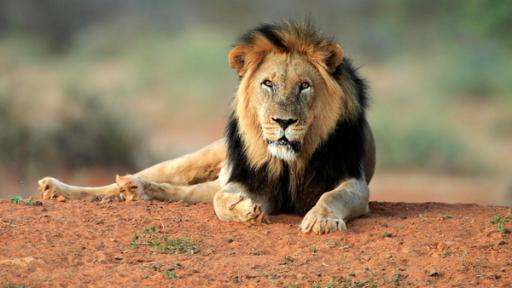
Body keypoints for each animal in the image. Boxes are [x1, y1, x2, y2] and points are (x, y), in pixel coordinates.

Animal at [36, 22, 374, 234]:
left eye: (304, 86)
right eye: (268, 84)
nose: (283, 122)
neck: (291, 161)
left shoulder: (354, 182)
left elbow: (331, 197)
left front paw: (321, 220)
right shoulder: (251, 182)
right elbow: (221, 200)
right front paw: (245, 210)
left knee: (184, 192)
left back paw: (136, 190)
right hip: (198, 160)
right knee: (153, 179)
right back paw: (62, 188)